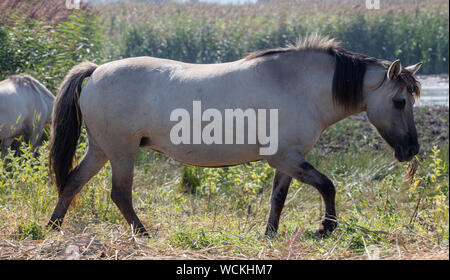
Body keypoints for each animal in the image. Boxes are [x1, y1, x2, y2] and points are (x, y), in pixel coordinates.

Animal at [46, 34, 422, 236]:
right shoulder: (286, 157)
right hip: (122, 152)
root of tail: (96, 71)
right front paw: (326, 227)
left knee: (73, 182)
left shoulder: (286, 159)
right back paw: (143, 233)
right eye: (400, 101)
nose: (411, 150)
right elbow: (327, 185)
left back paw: (52, 227)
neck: (296, 84)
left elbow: (278, 198)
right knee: (120, 194)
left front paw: (270, 234)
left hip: (101, 150)